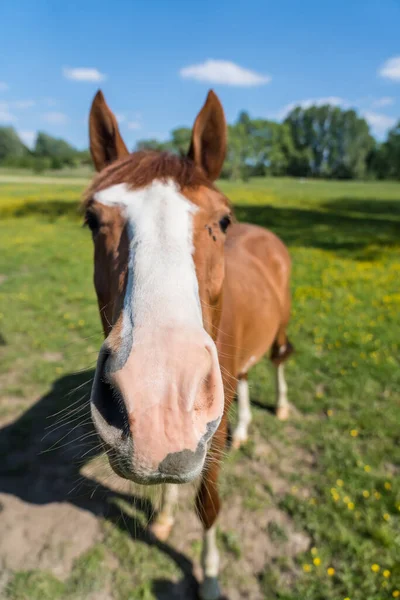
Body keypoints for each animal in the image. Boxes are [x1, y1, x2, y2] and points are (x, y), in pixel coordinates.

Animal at [84, 89, 292, 600]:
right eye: (93, 220)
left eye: (223, 219)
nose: (160, 400)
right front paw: (164, 516)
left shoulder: (208, 440)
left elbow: (210, 506)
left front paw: (211, 577)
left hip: (279, 331)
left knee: (279, 360)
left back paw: (280, 407)